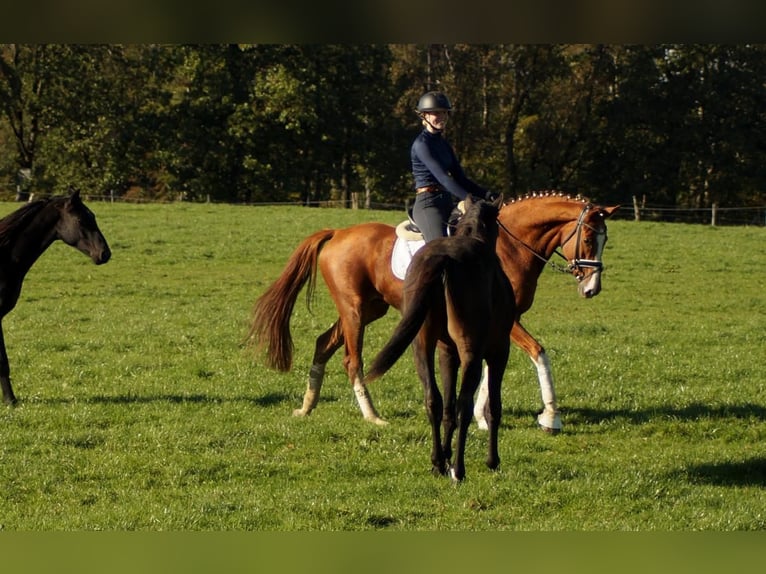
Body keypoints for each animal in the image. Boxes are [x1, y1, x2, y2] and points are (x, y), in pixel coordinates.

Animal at [249, 194, 620, 432]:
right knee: (352, 360)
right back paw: (373, 416)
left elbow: (489, 364)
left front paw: (481, 416)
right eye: (590, 238)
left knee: (324, 343)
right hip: (354, 311)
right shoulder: (507, 321)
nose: (592, 288)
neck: (507, 247)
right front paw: (550, 417)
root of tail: (338, 233)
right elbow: (539, 353)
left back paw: (307, 406)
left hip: (369, 309)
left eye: (605, 240)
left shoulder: (497, 322)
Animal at [366, 196, 516, 484]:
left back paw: (438, 461)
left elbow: (446, 405)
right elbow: (492, 407)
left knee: (433, 400)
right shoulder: (498, 351)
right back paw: (459, 468)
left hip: (422, 345)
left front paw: (444, 457)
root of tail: (444, 258)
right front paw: (492, 461)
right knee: (464, 406)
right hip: (471, 352)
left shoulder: (447, 353)